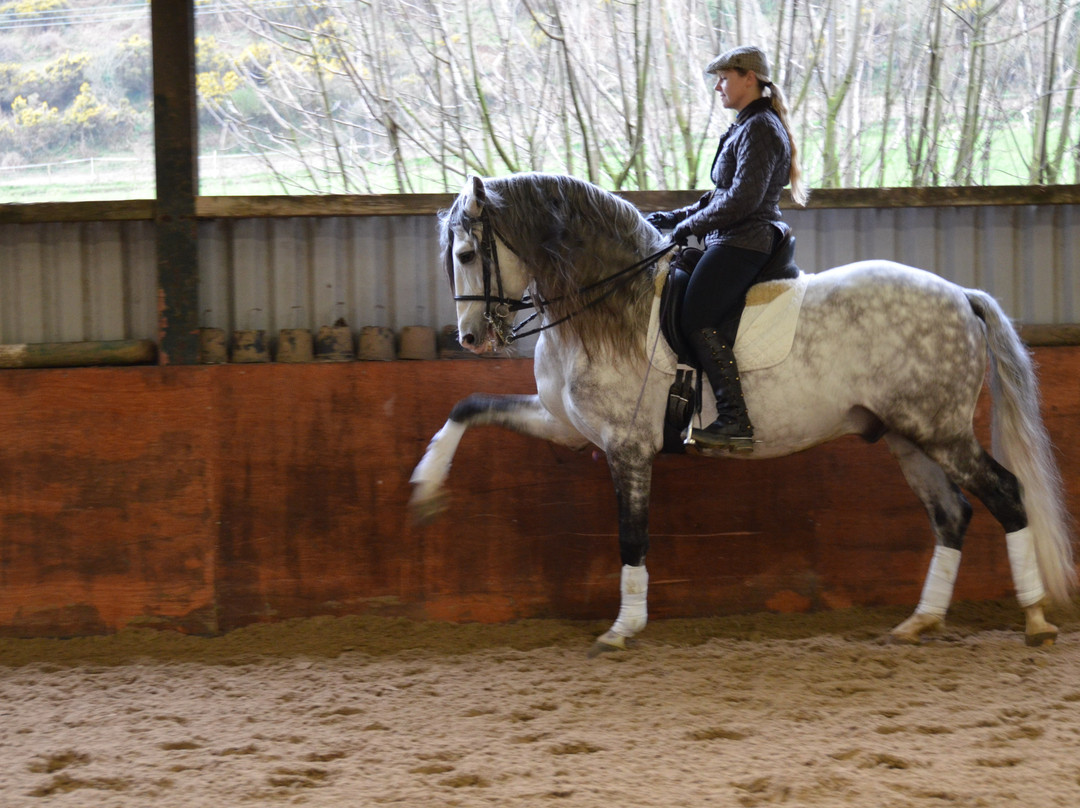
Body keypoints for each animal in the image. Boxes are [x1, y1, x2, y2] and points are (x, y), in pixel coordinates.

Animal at [408, 171, 1075, 656]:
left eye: (466, 253)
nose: (471, 338)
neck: (610, 301)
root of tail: (961, 295)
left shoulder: (626, 447)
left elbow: (632, 536)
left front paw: (623, 628)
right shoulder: (567, 429)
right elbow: (469, 406)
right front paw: (426, 488)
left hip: (941, 432)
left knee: (1006, 495)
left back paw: (1035, 620)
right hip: (908, 436)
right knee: (952, 515)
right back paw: (921, 622)